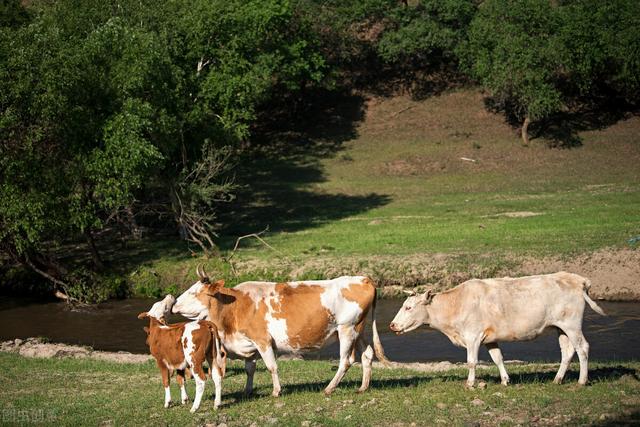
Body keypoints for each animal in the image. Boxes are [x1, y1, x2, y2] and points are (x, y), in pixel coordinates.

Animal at [172, 270, 388, 398]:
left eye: (193, 292)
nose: (173, 304)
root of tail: (362, 278)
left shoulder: (263, 340)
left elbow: (271, 367)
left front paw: (276, 391)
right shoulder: (249, 344)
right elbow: (250, 369)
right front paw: (247, 391)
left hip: (347, 328)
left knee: (346, 361)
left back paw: (329, 388)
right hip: (358, 330)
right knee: (367, 354)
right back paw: (363, 387)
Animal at [390, 274, 604, 388]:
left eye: (408, 307)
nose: (392, 325)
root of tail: (577, 279)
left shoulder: (473, 336)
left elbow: (471, 361)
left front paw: (470, 384)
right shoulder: (489, 338)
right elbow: (497, 358)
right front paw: (505, 380)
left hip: (572, 325)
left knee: (582, 348)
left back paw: (582, 381)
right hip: (560, 328)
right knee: (567, 352)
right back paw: (557, 379)